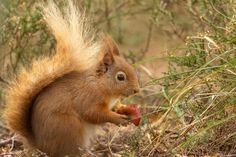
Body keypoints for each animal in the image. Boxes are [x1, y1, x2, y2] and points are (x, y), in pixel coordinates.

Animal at [3, 1, 139, 157]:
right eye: (120, 77)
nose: (137, 90)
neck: (101, 85)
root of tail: (39, 145)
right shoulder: (88, 97)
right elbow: (93, 114)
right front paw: (118, 119)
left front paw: (123, 109)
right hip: (68, 127)